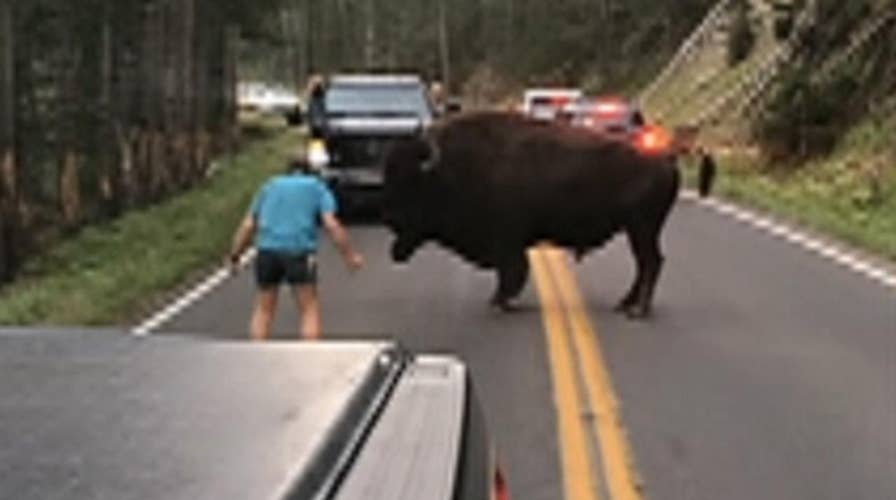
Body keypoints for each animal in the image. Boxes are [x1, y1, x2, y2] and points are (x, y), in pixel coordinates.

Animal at [382, 112, 712, 318]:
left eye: (412, 185)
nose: (389, 218)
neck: (449, 171)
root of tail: (666, 157)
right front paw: (499, 300)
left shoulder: (507, 242)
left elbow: (512, 271)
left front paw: (500, 302)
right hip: (638, 230)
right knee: (645, 265)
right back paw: (624, 304)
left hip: (641, 228)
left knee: (651, 263)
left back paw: (637, 311)